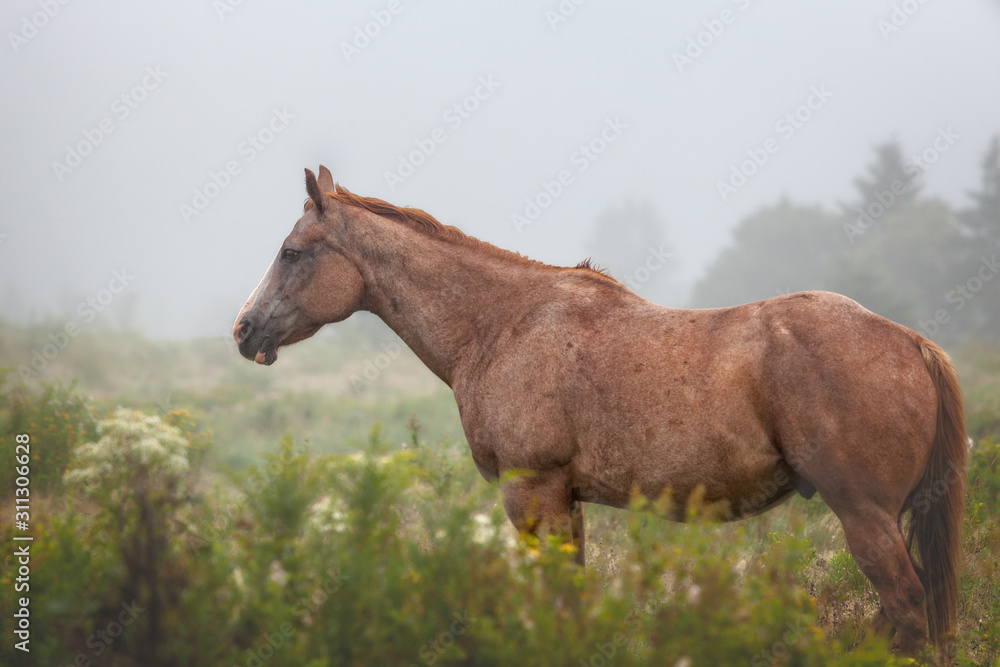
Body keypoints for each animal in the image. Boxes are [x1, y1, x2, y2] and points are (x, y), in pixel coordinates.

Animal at [233, 166, 966, 655]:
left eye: (292, 252)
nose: (244, 330)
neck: (499, 323)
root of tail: (912, 341)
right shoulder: (565, 500)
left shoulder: (531, 492)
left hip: (865, 516)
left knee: (906, 610)